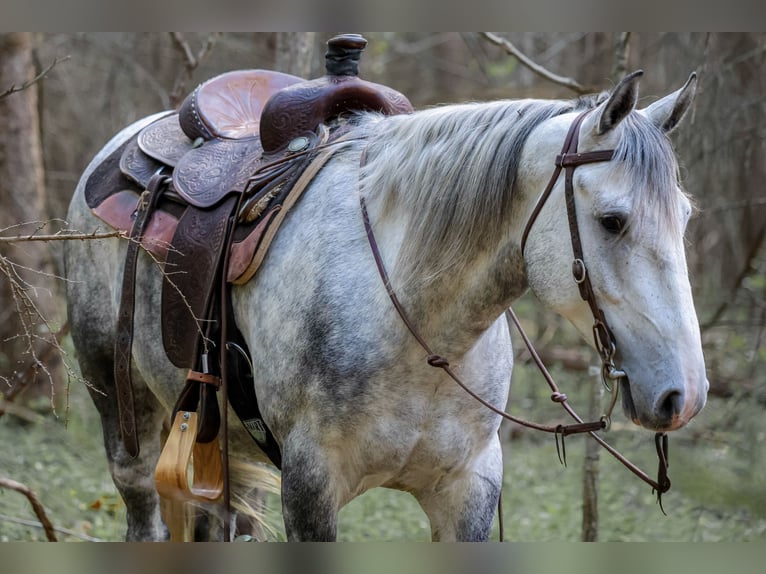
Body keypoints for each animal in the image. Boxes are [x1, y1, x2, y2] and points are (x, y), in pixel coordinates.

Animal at [63, 69, 708, 541]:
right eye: (613, 220)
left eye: (684, 218)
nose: (684, 395)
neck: (418, 326)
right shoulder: (310, 489)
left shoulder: (470, 489)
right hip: (119, 405)